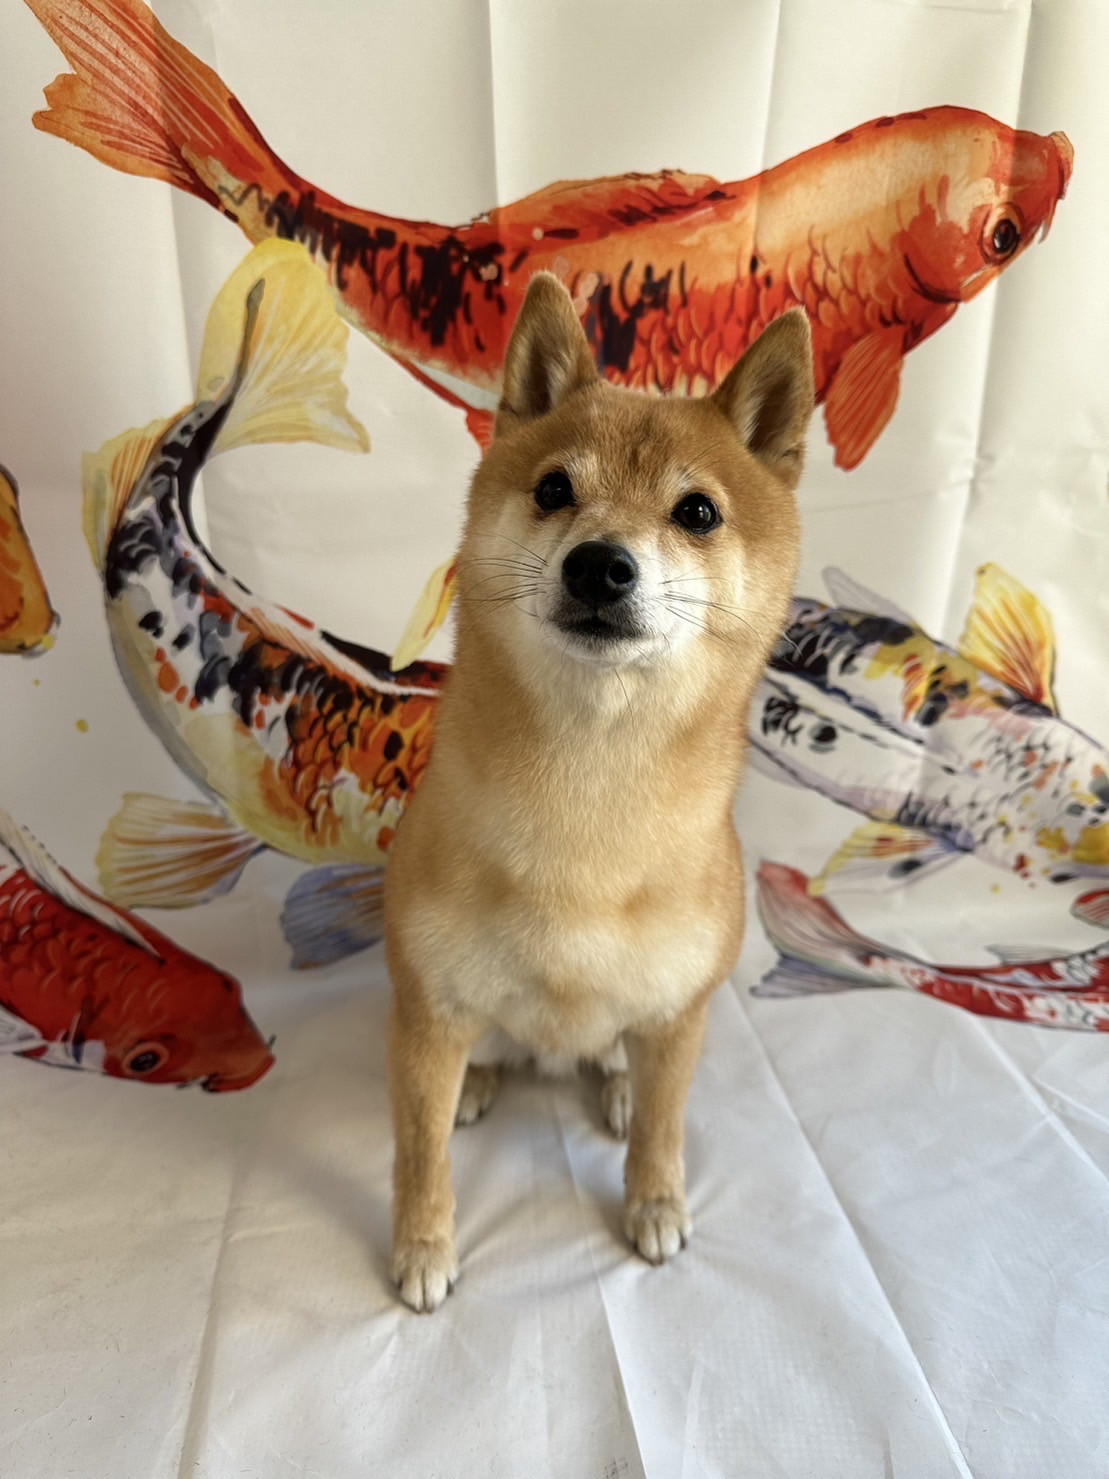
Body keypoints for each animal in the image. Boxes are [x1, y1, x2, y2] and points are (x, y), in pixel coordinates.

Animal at [383, 273, 813, 1311]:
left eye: (697, 512)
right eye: (552, 490)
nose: (599, 563)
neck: (586, 804)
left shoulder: (679, 1010)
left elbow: (664, 1124)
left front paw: (653, 1202)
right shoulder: (428, 1009)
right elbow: (417, 1151)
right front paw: (421, 1246)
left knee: (631, 1063)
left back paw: (615, 1083)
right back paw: (483, 1081)